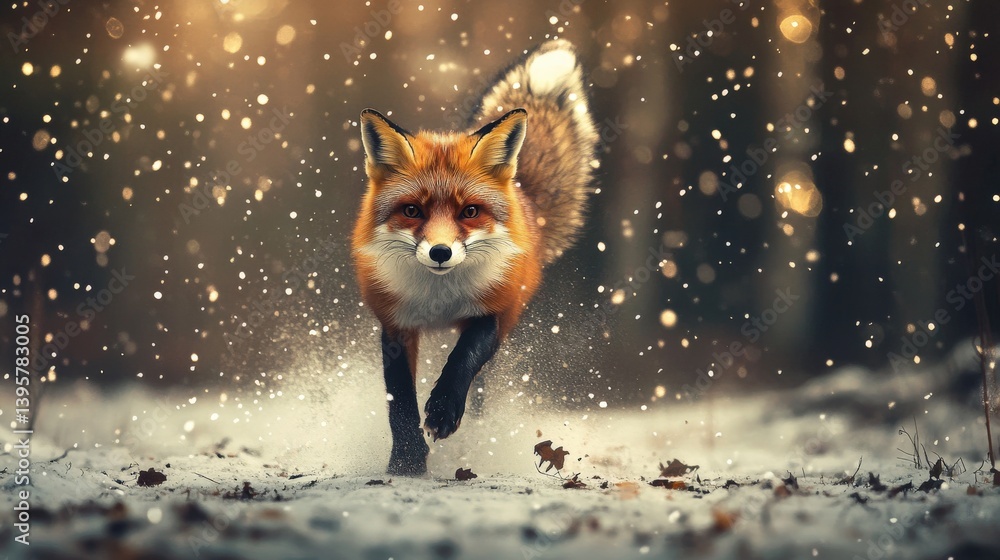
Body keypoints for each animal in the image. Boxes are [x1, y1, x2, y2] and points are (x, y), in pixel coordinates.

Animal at [352, 39, 599, 475]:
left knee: (478, 381)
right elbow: (400, 401)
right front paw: (407, 461)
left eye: (469, 212)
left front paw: (443, 412)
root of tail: (522, 194)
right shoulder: (396, 326)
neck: (439, 299)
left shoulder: (494, 313)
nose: (440, 252)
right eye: (412, 211)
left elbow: (462, 361)